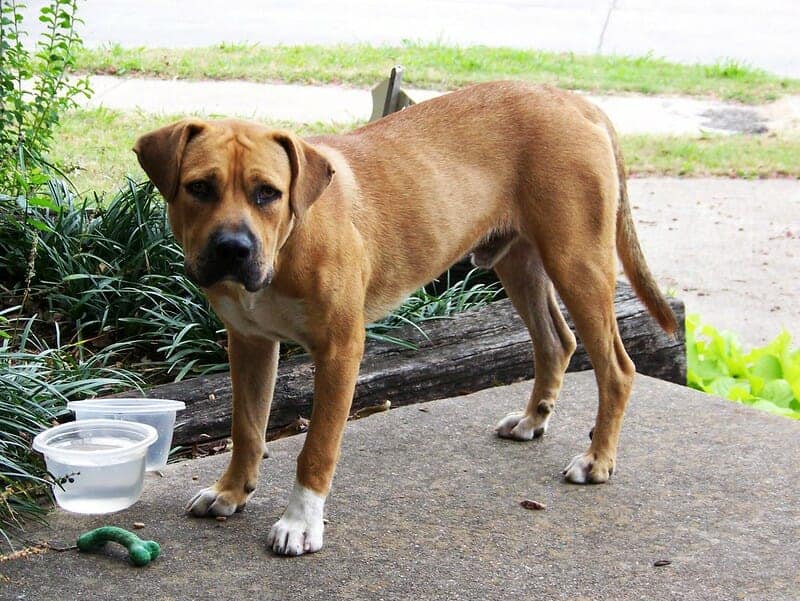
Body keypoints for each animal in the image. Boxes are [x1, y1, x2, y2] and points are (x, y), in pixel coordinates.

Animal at [136, 82, 676, 556]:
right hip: (519, 261)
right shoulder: (248, 342)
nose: (233, 248)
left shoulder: (340, 350)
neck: (289, 243)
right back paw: (531, 420)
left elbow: (316, 448)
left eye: (267, 193)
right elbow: (247, 429)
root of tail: (575, 101)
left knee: (617, 368)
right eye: (199, 188)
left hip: (577, 262)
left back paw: (597, 460)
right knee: (556, 341)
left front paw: (300, 523)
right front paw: (231, 491)